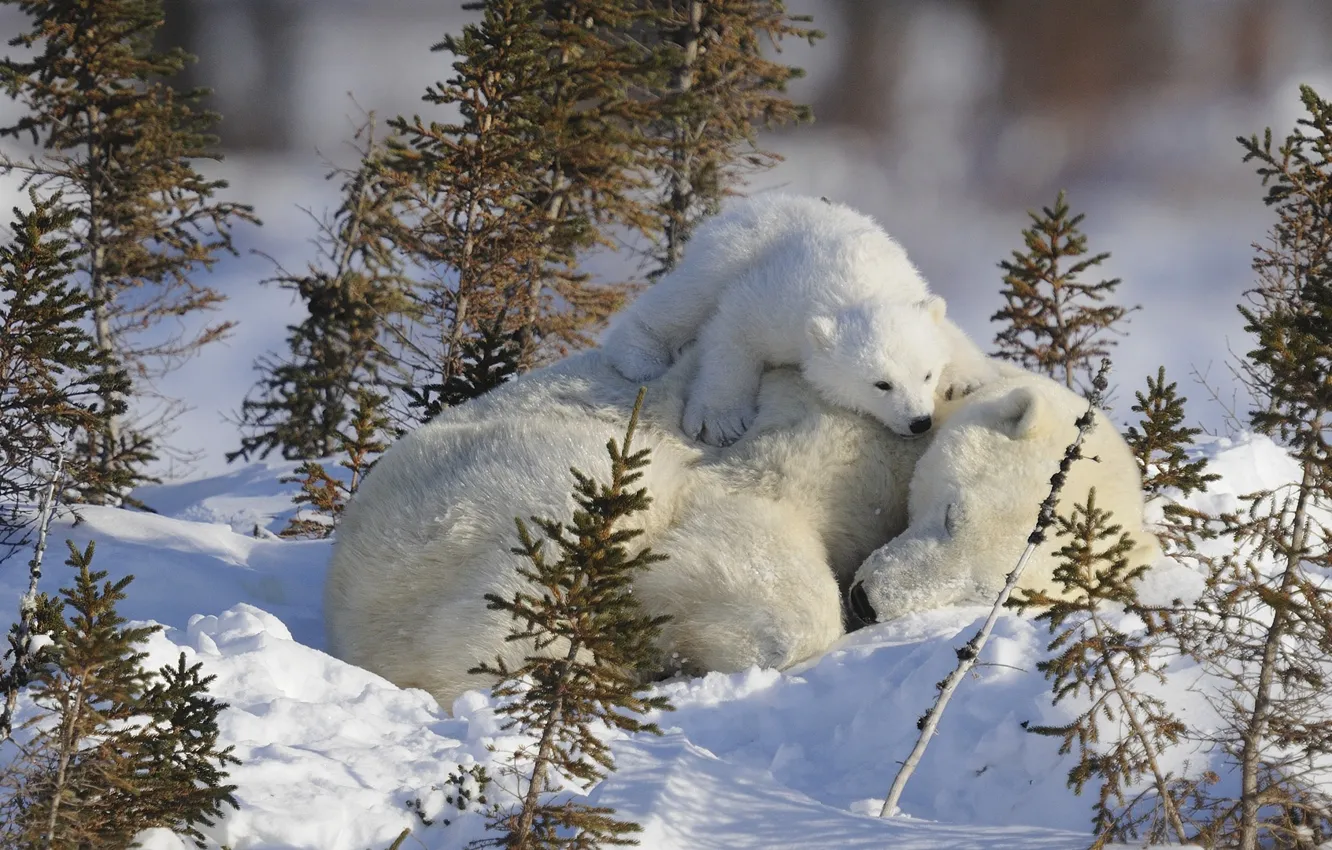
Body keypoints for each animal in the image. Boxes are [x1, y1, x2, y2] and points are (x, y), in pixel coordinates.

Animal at [602, 193, 991, 447]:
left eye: (927, 374)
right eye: (881, 384)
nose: (919, 422)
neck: (858, 285)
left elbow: (946, 331)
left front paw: (965, 378)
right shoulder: (776, 301)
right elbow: (733, 332)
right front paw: (721, 421)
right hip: (728, 252)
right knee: (686, 298)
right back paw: (640, 356)